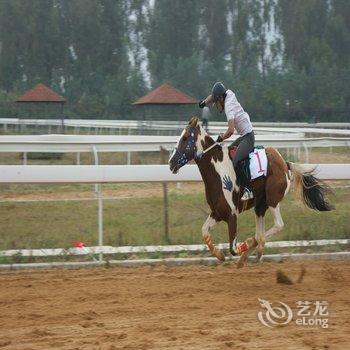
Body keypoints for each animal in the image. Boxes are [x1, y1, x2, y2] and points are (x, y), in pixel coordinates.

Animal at [169, 116, 334, 266]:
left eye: (185, 138)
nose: (171, 162)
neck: (218, 170)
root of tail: (285, 163)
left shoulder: (232, 214)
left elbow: (233, 248)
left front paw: (243, 246)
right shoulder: (218, 212)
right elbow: (204, 231)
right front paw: (219, 255)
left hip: (273, 200)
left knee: (277, 226)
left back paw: (251, 249)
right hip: (260, 205)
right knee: (260, 234)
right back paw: (251, 254)